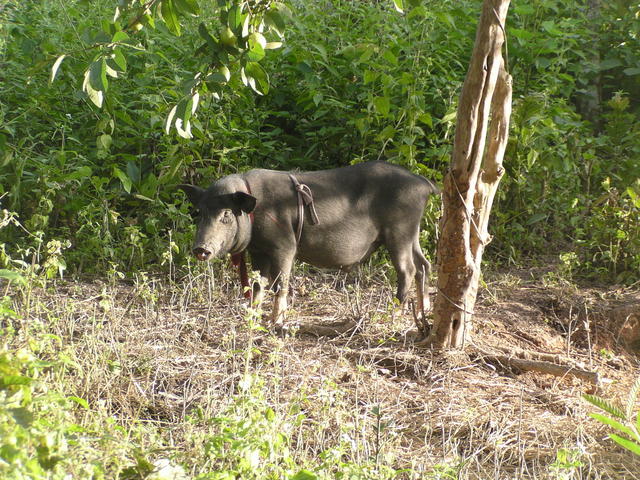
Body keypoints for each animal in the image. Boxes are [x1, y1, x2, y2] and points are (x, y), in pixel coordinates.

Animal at [179, 161, 439, 325]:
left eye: (226, 214)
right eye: (200, 212)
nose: (200, 248)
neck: (255, 211)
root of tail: (424, 183)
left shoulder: (284, 245)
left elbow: (280, 283)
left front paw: (276, 322)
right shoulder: (258, 251)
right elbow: (257, 285)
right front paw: (251, 317)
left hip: (400, 230)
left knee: (408, 269)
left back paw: (394, 315)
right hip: (412, 233)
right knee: (424, 265)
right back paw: (423, 311)